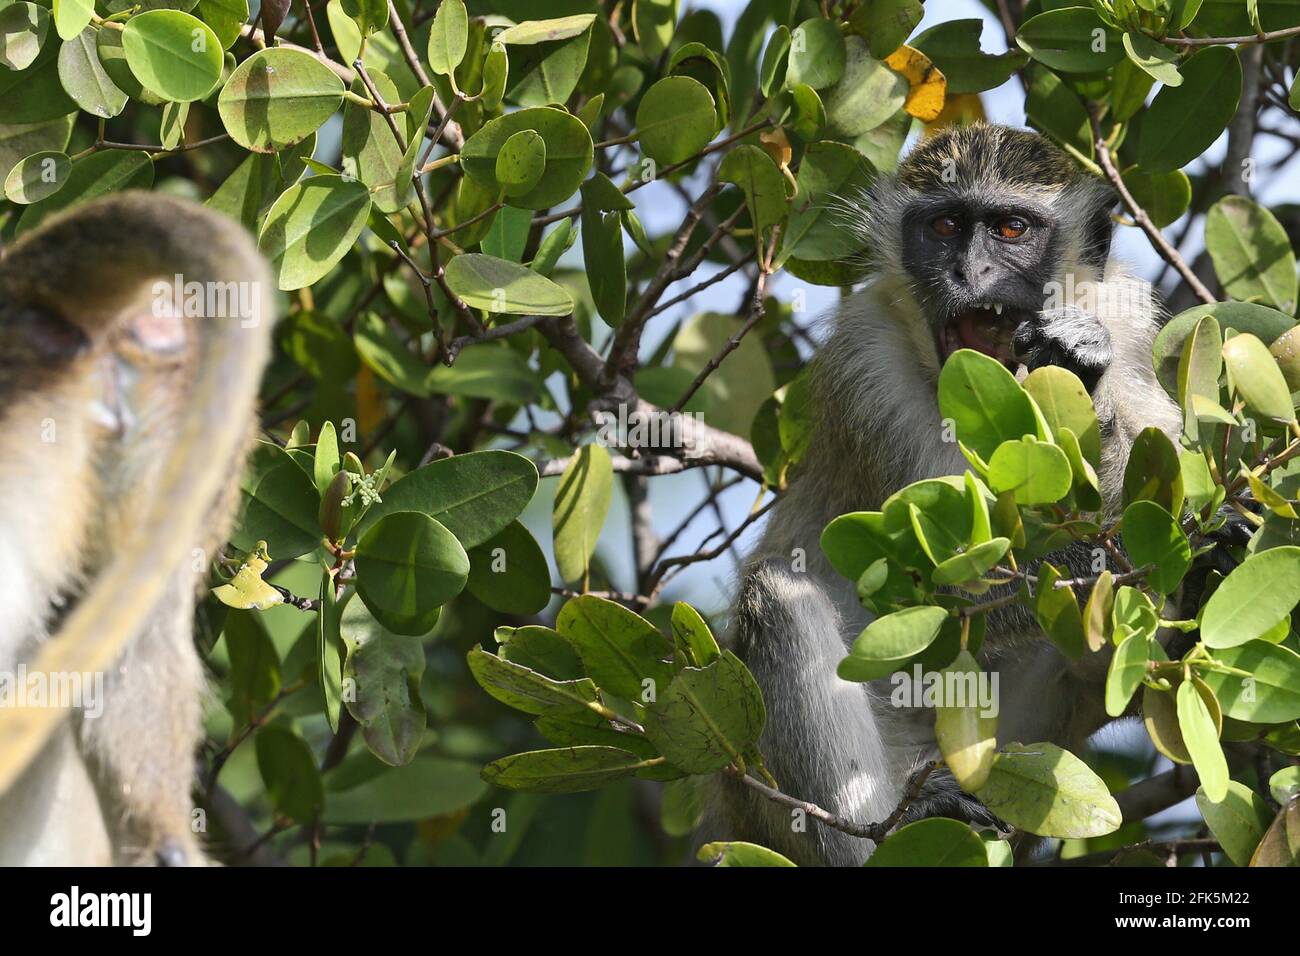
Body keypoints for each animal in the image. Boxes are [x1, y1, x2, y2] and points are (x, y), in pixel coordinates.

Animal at [717, 125, 1185, 868]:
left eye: (1011, 227)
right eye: (942, 226)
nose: (970, 277)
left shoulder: (1129, 318)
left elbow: (1164, 470)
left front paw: (1082, 368)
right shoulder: (865, 373)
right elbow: (932, 581)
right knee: (779, 599)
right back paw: (888, 832)